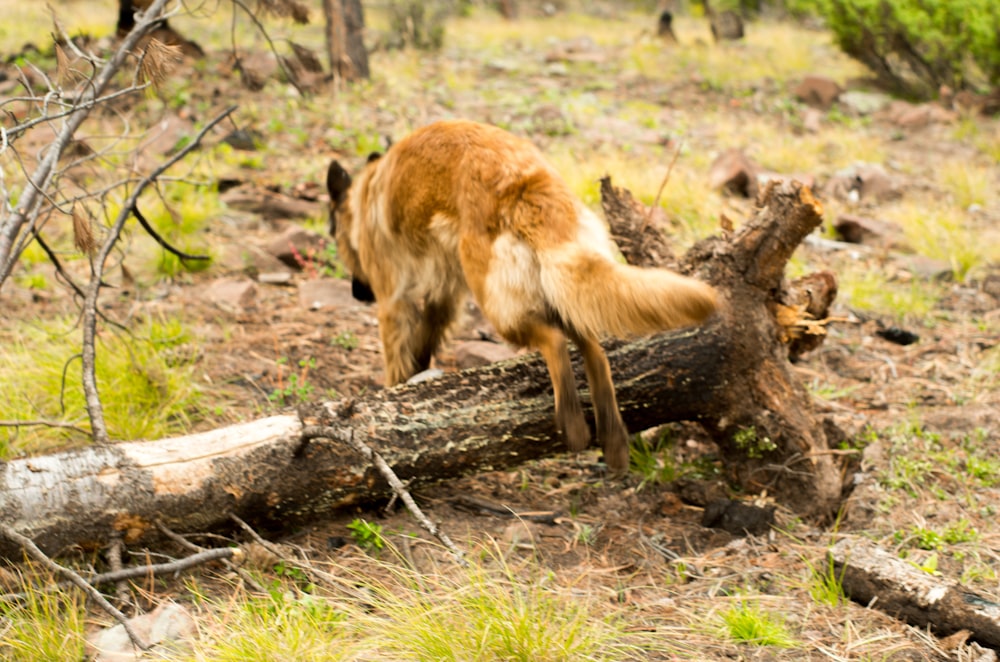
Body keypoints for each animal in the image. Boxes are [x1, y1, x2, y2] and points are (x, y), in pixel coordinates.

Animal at [324, 118, 716, 472]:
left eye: (335, 237)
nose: (358, 294)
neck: (369, 190)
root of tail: (528, 186)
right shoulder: (444, 294)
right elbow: (422, 345)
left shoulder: (393, 300)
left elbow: (396, 357)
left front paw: (390, 400)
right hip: (560, 288)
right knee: (592, 346)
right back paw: (613, 436)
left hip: (500, 306)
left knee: (555, 342)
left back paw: (573, 424)